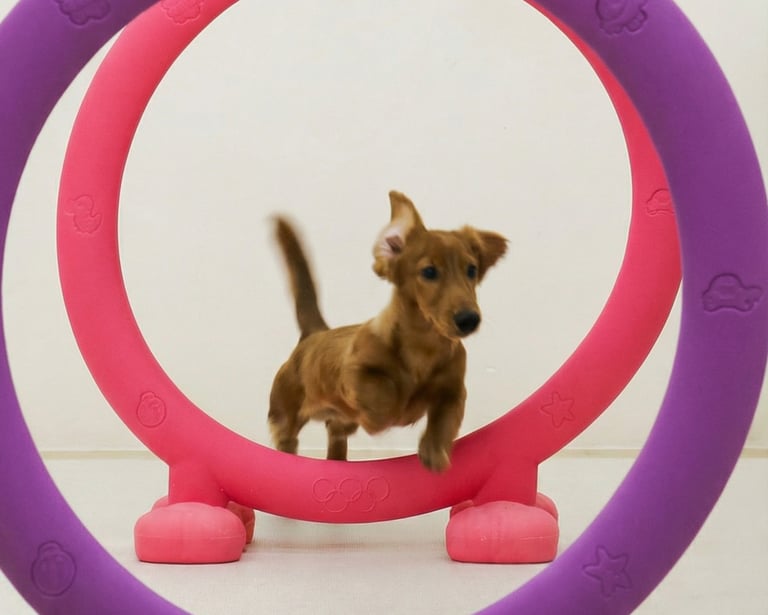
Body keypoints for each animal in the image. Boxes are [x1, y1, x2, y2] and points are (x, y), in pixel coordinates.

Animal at [268, 191, 507, 472]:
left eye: (471, 270)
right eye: (429, 272)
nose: (469, 319)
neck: (425, 346)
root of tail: (315, 333)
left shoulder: (454, 390)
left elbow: (445, 419)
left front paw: (434, 452)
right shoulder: (354, 373)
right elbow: (381, 389)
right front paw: (387, 413)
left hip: (338, 427)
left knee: (337, 435)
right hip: (285, 415)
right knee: (288, 437)